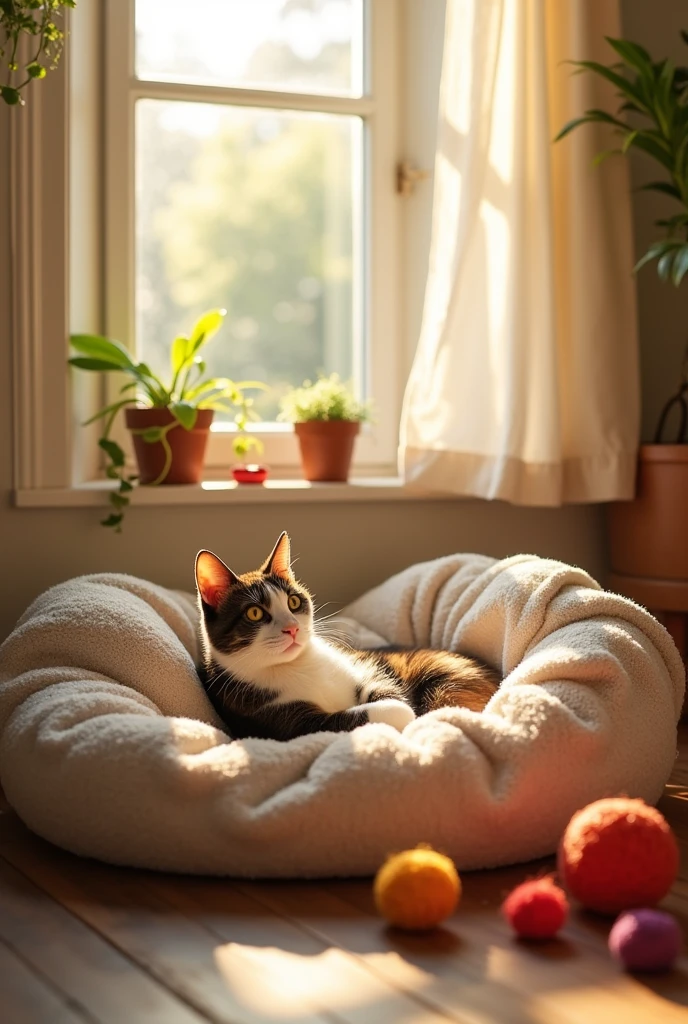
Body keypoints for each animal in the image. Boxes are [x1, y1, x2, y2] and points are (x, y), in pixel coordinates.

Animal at [194, 532, 499, 741]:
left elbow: (380, 683)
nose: (292, 628)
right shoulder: (279, 721)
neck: (297, 665)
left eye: (293, 602)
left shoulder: (361, 665)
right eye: (254, 613)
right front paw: (404, 715)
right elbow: (347, 721)